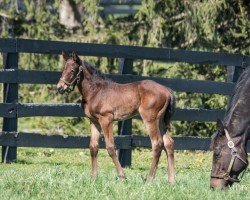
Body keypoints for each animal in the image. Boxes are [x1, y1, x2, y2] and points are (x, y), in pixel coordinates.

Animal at [56, 52, 176, 183]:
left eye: (72, 70)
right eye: (63, 69)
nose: (60, 87)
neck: (96, 91)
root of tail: (168, 91)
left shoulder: (106, 119)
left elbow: (110, 147)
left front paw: (122, 176)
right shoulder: (94, 121)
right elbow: (93, 147)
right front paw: (93, 177)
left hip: (150, 119)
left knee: (157, 144)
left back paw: (149, 178)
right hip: (161, 121)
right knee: (169, 143)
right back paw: (171, 180)